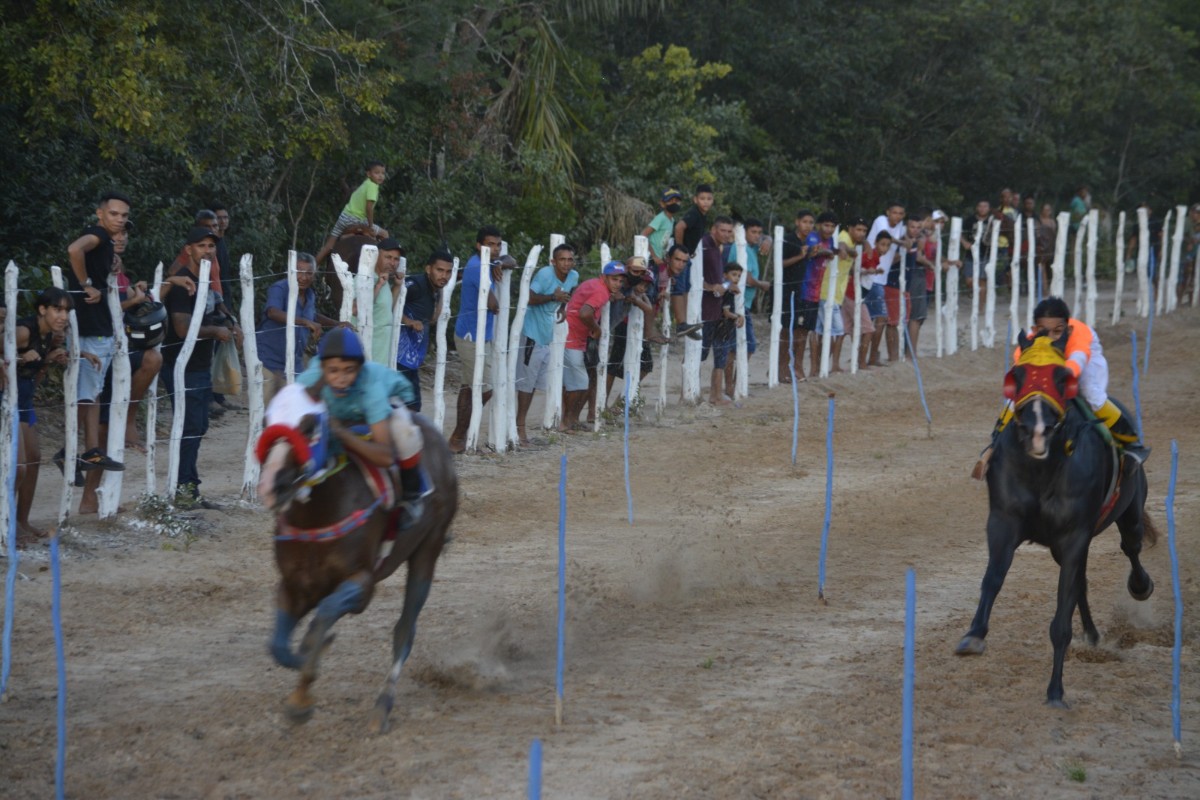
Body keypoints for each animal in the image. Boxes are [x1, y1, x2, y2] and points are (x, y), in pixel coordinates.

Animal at [255, 386, 456, 734]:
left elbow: (322, 619)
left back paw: (382, 708)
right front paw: (300, 697)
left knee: (404, 631)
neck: (319, 513)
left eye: (310, 426)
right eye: (267, 422)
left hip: (427, 550)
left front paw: (311, 656)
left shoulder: (362, 585)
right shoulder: (293, 586)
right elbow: (279, 647)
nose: (271, 484)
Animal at [955, 335, 1152, 710]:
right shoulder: (1003, 523)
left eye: (1062, 378)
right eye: (1017, 375)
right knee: (1082, 583)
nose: (1036, 431)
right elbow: (992, 580)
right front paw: (973, 636)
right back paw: (1091, 632)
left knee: (1132, 547)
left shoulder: (1074, 535)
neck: (1041, 469)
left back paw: (1141, 586)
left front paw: (1056, 691)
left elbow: (1062, 617)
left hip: (1129, 511)